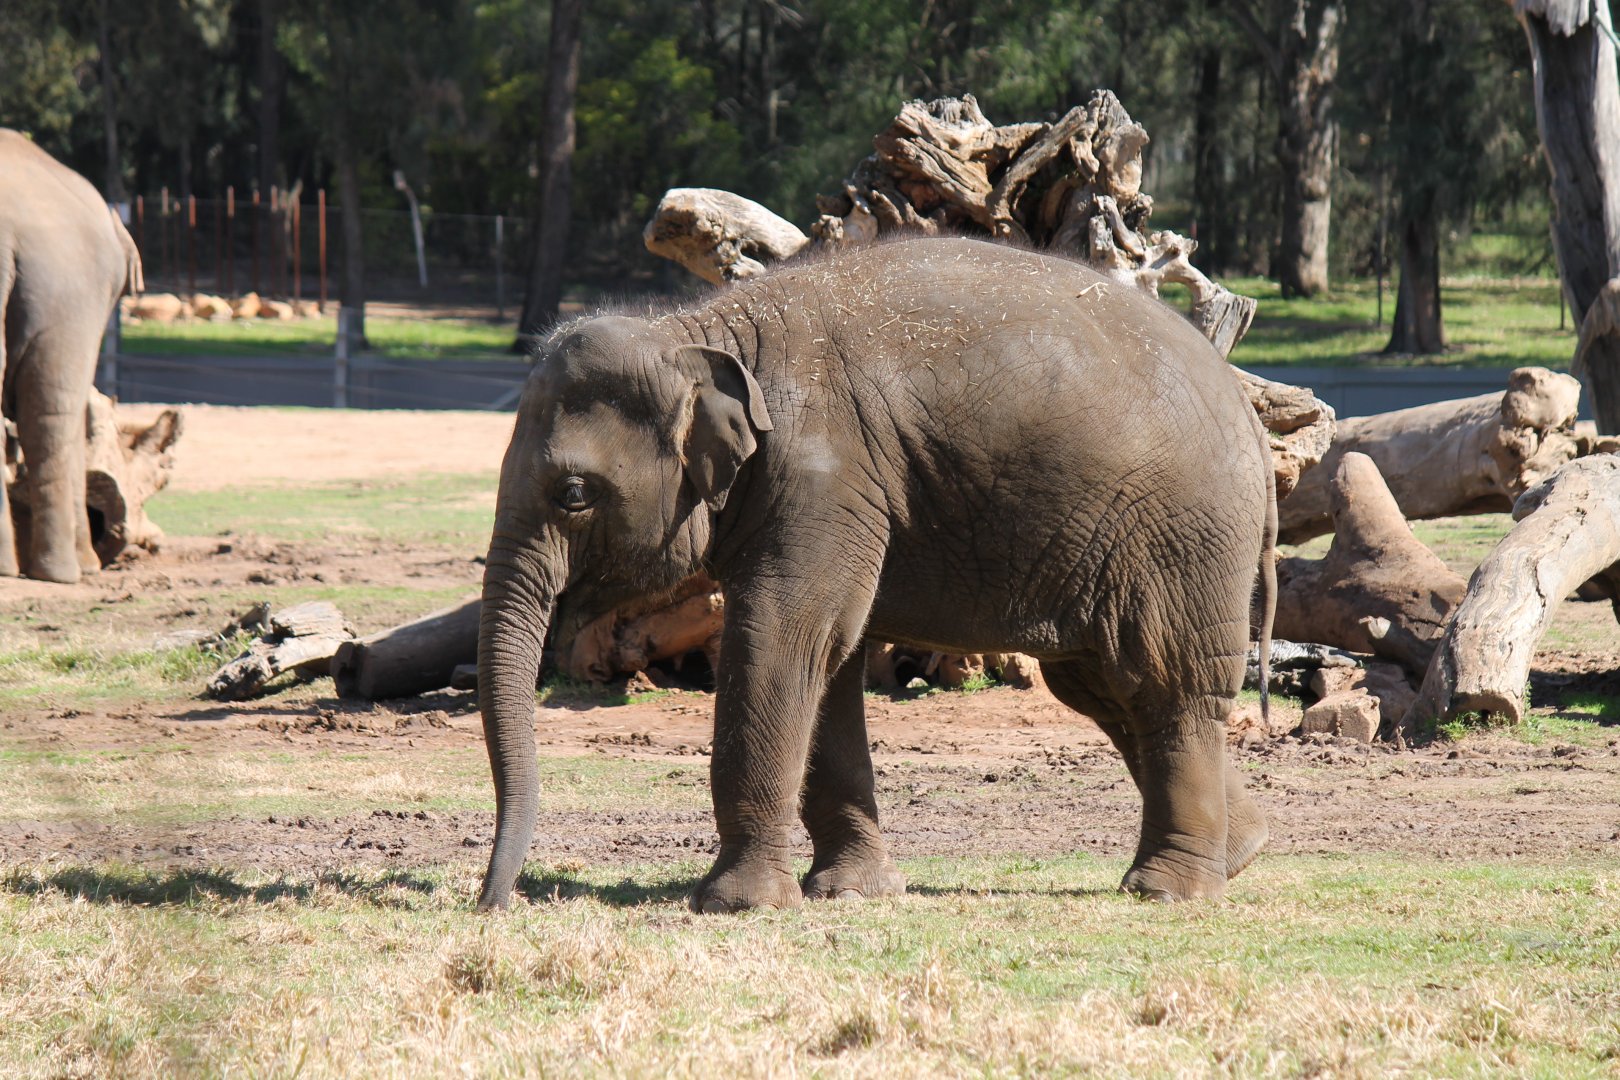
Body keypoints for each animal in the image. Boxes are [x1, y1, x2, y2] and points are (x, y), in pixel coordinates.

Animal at [0, 129, 144, 583]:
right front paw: (93, 564)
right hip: (67, 292)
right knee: (52, 417)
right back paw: (60, 572)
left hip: (61, 289)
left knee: (47, 414)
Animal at [476, 235, 1276, 913]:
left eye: (573, 494)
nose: (494, 903)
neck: (702, 331)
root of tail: (1247, 406)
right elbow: (832, 659)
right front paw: (850, 891)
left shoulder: (823, 474)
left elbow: (784, 638)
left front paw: (737, 905)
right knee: (1103, 684)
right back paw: (1241, 851)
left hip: (1183, 534)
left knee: (1165, 681)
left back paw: (1169, 890)